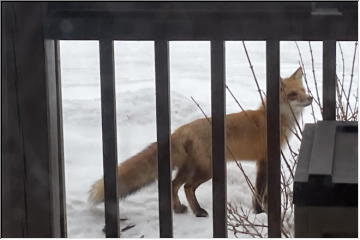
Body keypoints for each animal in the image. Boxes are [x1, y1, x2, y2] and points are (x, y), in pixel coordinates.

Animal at [89, 66, 312, 217]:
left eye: (303, 89)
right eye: (293, 94)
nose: (310, 98)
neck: (272, 119)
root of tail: (180, 130)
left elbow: (264, 192)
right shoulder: (263, 160)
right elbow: (258, 191)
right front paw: (259, 212)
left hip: (191, 168)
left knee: (173, 184)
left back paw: (179, 208)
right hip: (208, 169)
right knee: (187, 187)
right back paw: (197, 211)